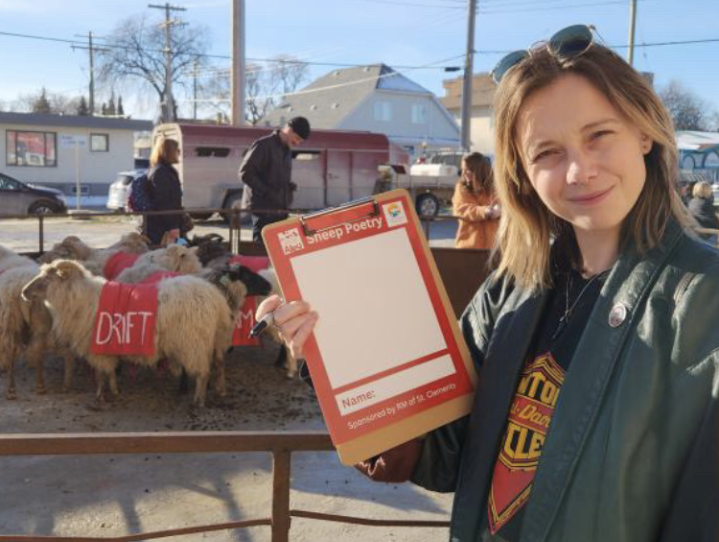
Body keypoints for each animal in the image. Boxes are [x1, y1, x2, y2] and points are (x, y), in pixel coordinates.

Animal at [21, 260, 236, 408]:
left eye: (48, 278)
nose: (24, 292)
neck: (78, 299)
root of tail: (216, 298)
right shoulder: (106, 344)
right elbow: (109, 371)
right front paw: (115, 390)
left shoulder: (96, 344)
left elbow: (101, 373)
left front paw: (99, 396)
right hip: (216, 338)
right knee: (219, 364)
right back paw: (221, 391)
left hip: (194, 343)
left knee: (203, 373)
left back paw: (198, 401)